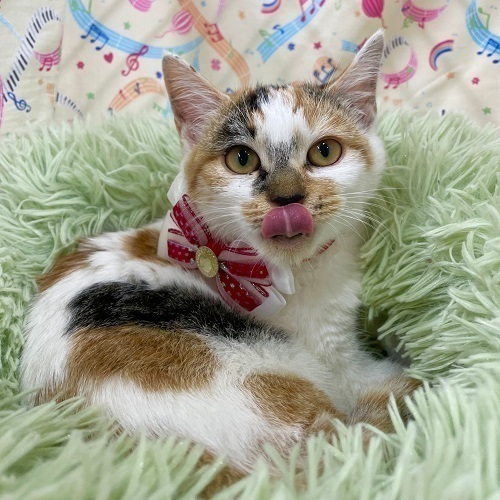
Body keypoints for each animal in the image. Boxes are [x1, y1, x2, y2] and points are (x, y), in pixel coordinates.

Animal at [21, 30, 419, 488]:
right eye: (241, 159)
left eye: (324, 152)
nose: (287, 197)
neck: (299, 273)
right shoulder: (340, 362)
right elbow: (383, 377)